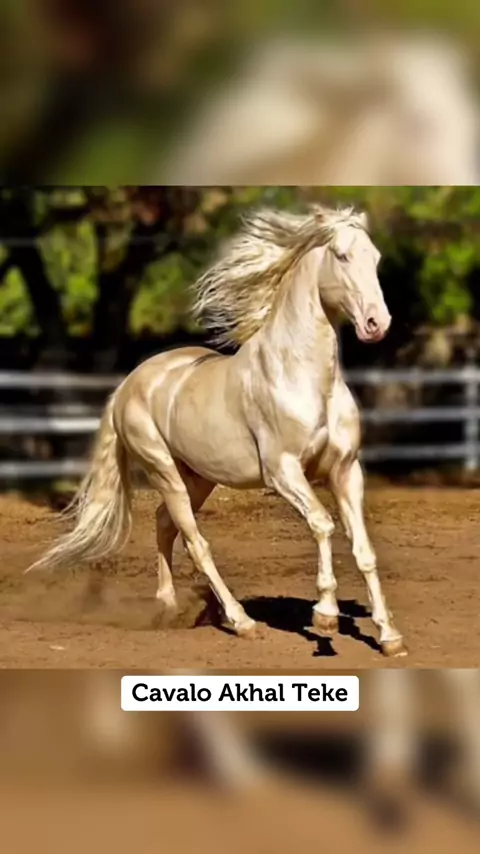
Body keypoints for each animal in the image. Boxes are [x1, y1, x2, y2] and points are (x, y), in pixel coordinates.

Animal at [27, 204, 406, 658]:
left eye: (376, 258)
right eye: (342, 255)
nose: (376, 323)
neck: (306, 379)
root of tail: (129, 383)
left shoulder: (346, 470)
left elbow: (363, 549)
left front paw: (389, 636)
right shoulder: (283, 473)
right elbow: (323, 525)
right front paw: (325, 616)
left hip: (198, 477)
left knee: (164, 523)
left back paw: (169, 607)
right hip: (164, 470)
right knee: (195, 541)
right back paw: (242, 622)